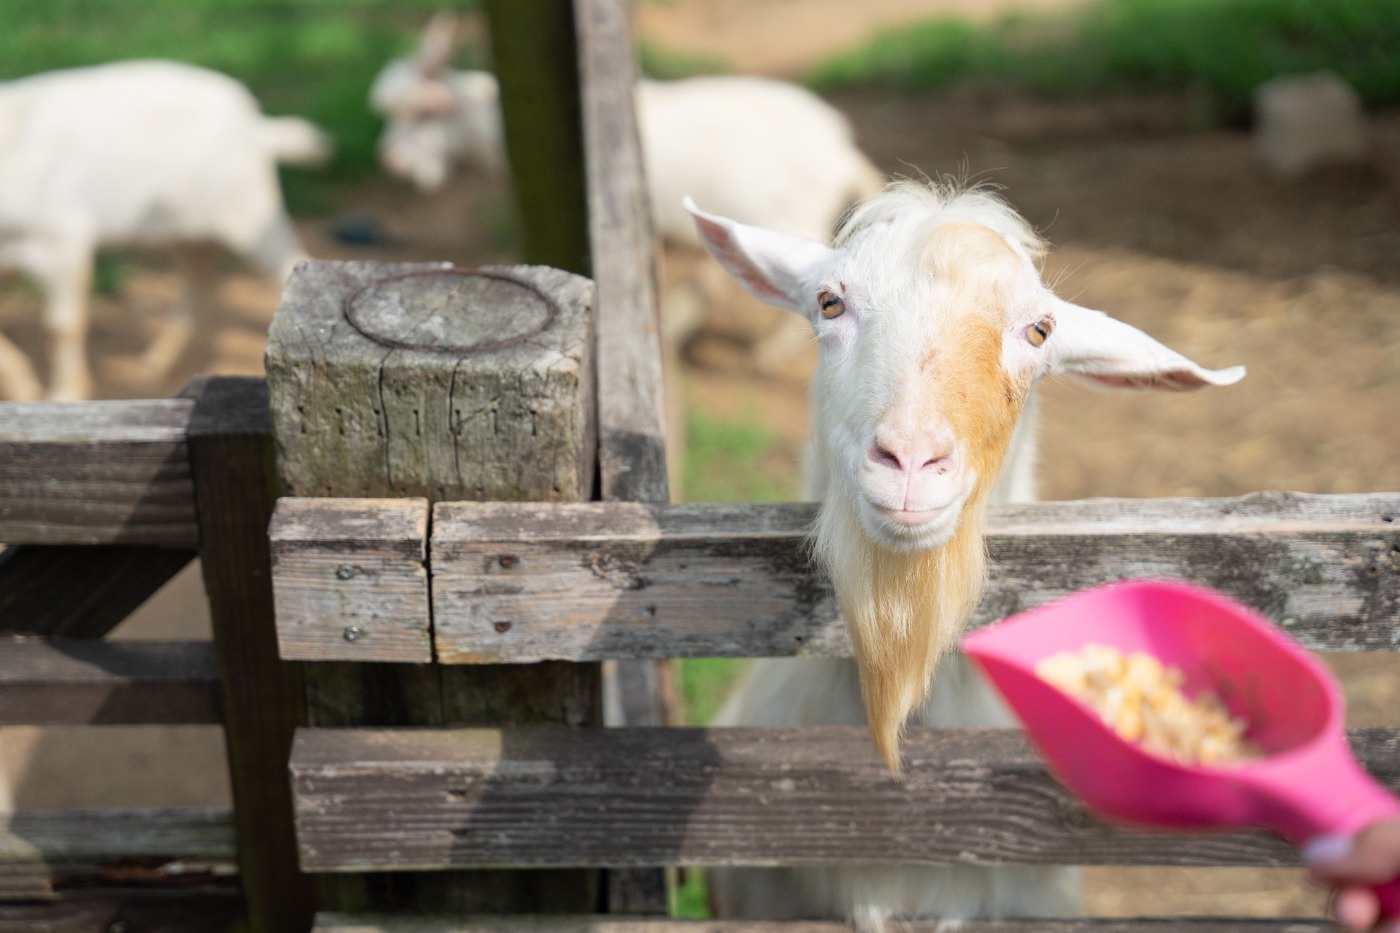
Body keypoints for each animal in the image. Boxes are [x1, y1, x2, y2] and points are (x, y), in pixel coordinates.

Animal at [0, 59, 330, 397]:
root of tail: (256, 126)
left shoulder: (62, 240)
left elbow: (60, 327)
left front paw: (65, 394)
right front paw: (23, 391)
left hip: (249, 210)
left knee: (287, 260)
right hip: (184, 231)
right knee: (201, 280)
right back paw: (158, 361)